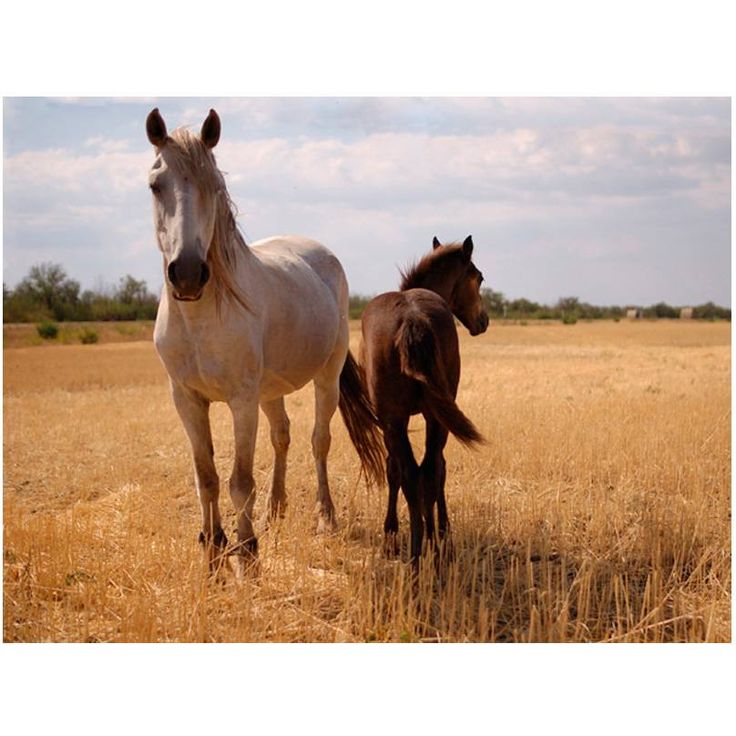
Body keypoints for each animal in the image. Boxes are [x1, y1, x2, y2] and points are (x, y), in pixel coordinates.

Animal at [145, 108, 384, 573]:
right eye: (154, 184)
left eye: (214, 186)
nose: (187, 274)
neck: (201, 319)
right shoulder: (185, 399)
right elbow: (206, 477)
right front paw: (212, 544)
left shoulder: (241, 400)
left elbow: (239, 481)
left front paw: (247, 551)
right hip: (270, 390)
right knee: (282, 436)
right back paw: (276, 510)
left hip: (325, 378)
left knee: (318, 440)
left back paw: (324, 516)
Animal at [360, 236, 489, 562]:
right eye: (479, 277)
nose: (483, 321)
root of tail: (412, 317)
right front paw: (439, 530)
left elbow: (400, 471)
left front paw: (396, 533)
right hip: (425, 419)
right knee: (425, 472)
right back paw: (427, 545)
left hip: (402, 420)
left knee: (415, 473)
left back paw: (421, 548)